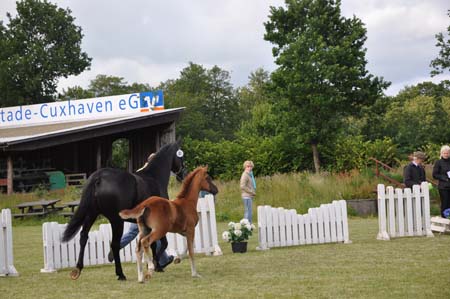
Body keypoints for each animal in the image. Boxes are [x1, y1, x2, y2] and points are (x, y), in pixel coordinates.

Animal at [61, 141, 185, 282]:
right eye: (181, 155)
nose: (183, 174)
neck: (154, 178)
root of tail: (99, 177)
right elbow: (162, 243)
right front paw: (155, 265)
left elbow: (153, 243)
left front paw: (156, 265)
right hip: (116, 220)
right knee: (114, 245)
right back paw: (120, 274)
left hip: (92, 214)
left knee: (83, 237)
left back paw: (77, 270)